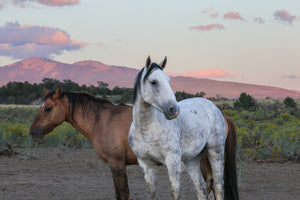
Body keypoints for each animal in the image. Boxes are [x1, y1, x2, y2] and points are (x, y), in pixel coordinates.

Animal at [29, 87, 237, 200]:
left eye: (48, 108)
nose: (33, 133)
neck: (103, 120)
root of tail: (221, 114)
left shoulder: (117, 164)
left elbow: (123, 194)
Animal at [129, 56, 239, 200]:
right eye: (153, 82)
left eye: (168, 80)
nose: (173, 110)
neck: (146, 130)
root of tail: (217, 110)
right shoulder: (146, 165)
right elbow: (151, 194)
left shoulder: (172, 162)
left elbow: (175, 193)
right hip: (192, 160)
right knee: (201, 188)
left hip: (215, 152)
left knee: (218, 186)